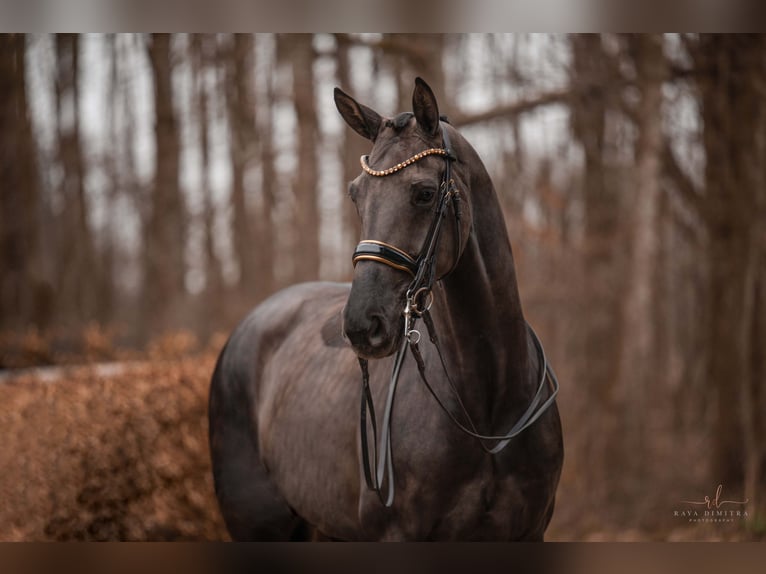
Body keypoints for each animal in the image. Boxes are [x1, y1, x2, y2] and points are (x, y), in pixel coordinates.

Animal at [208, 77, 564, 544]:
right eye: (355, 196)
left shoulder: (528, 532)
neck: (489, 410)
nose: (363, 325)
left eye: (424, 193)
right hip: (258, 523)